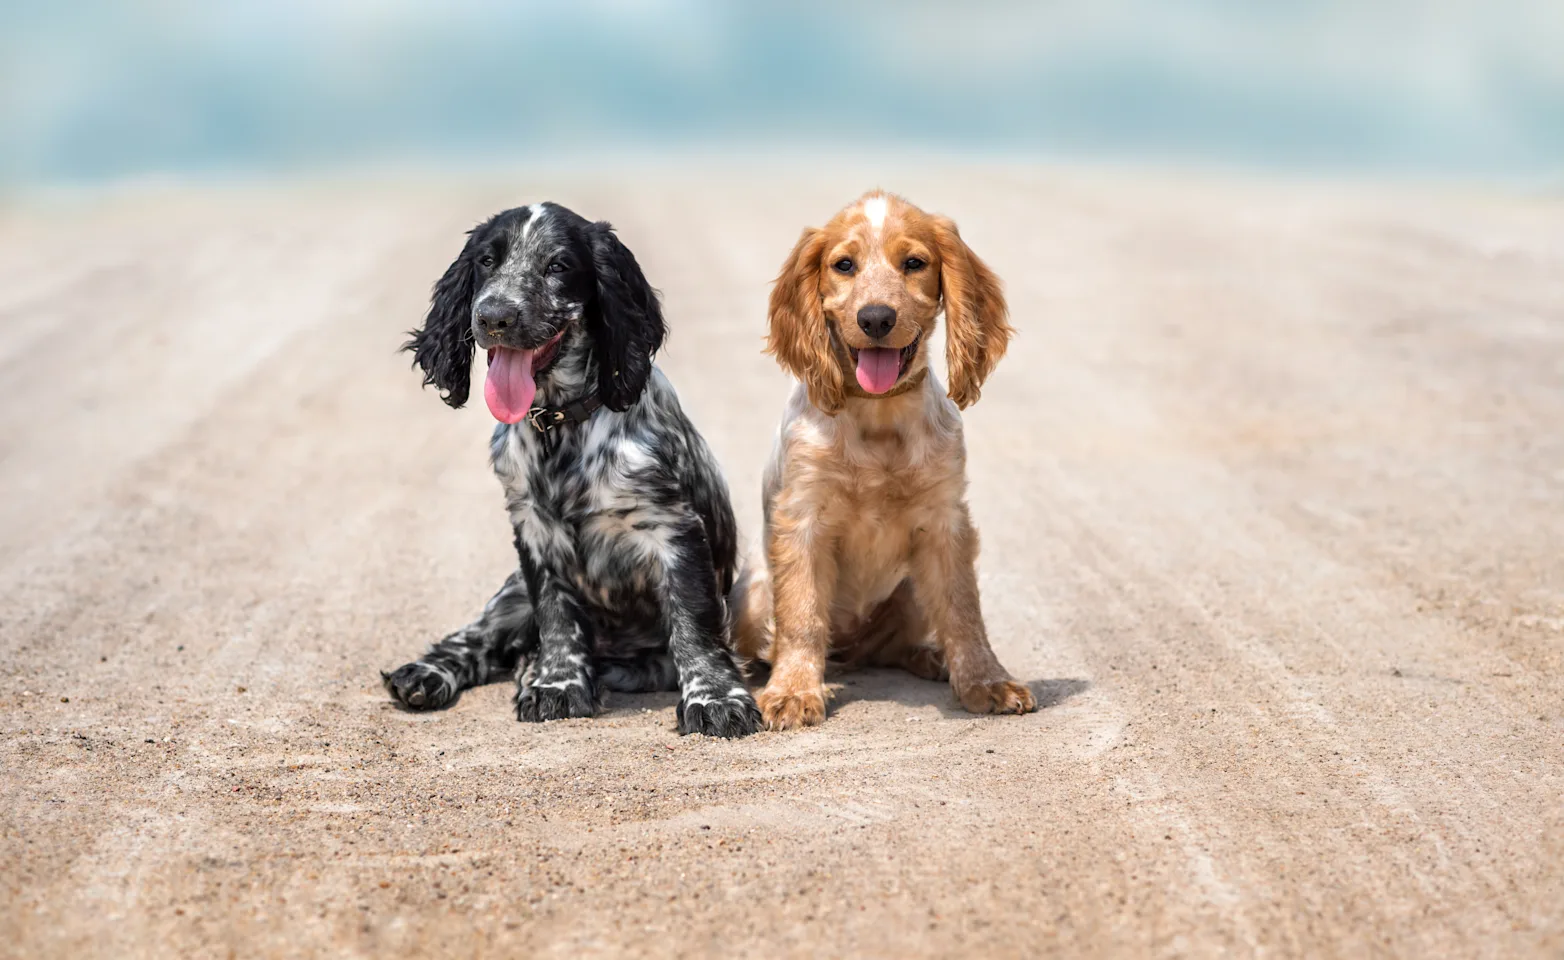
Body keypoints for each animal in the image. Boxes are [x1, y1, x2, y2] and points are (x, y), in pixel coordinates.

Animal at [384, 203, 763, 741]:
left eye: (559, 265)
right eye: (486, 261)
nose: (493, 316)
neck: (560, 425)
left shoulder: (674, 529)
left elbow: (694, 622)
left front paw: (715, 699)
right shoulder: (532, 533)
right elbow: (556, 613)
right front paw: (557, 683)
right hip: (510, 594)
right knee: (475, 637)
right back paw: (428, 674)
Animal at [731, 191, 1038, 728]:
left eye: (913, 263)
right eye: (844, 265)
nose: (876, 318)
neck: (878, 415)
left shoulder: (946, 522)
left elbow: (963, 609)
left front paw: (985, 682)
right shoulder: (801, 520)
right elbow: (801, 614)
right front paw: (792, 691)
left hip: (909, 588)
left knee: (894, 645)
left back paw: (931, 658)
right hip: (751, 594)